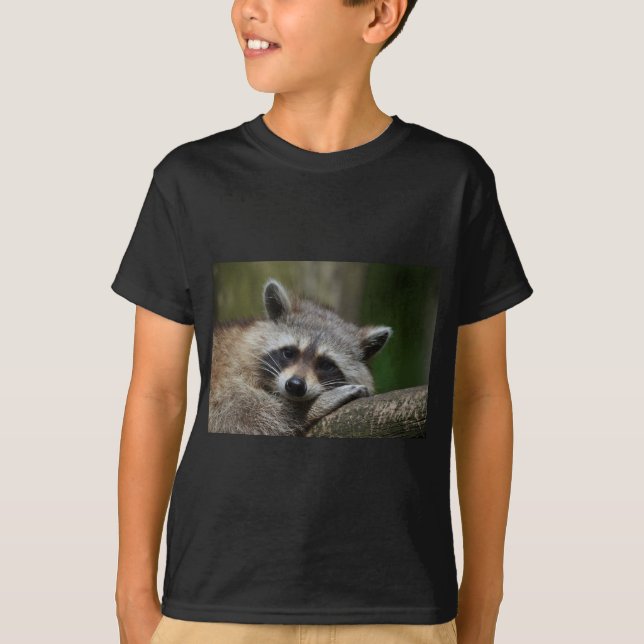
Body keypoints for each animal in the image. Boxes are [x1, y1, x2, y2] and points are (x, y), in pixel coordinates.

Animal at [208, 278, 393, 436]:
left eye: (326, 364)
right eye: (289, 353)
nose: (295, 385)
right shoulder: (227, 380)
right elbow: (246, 417)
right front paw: (311, 406)